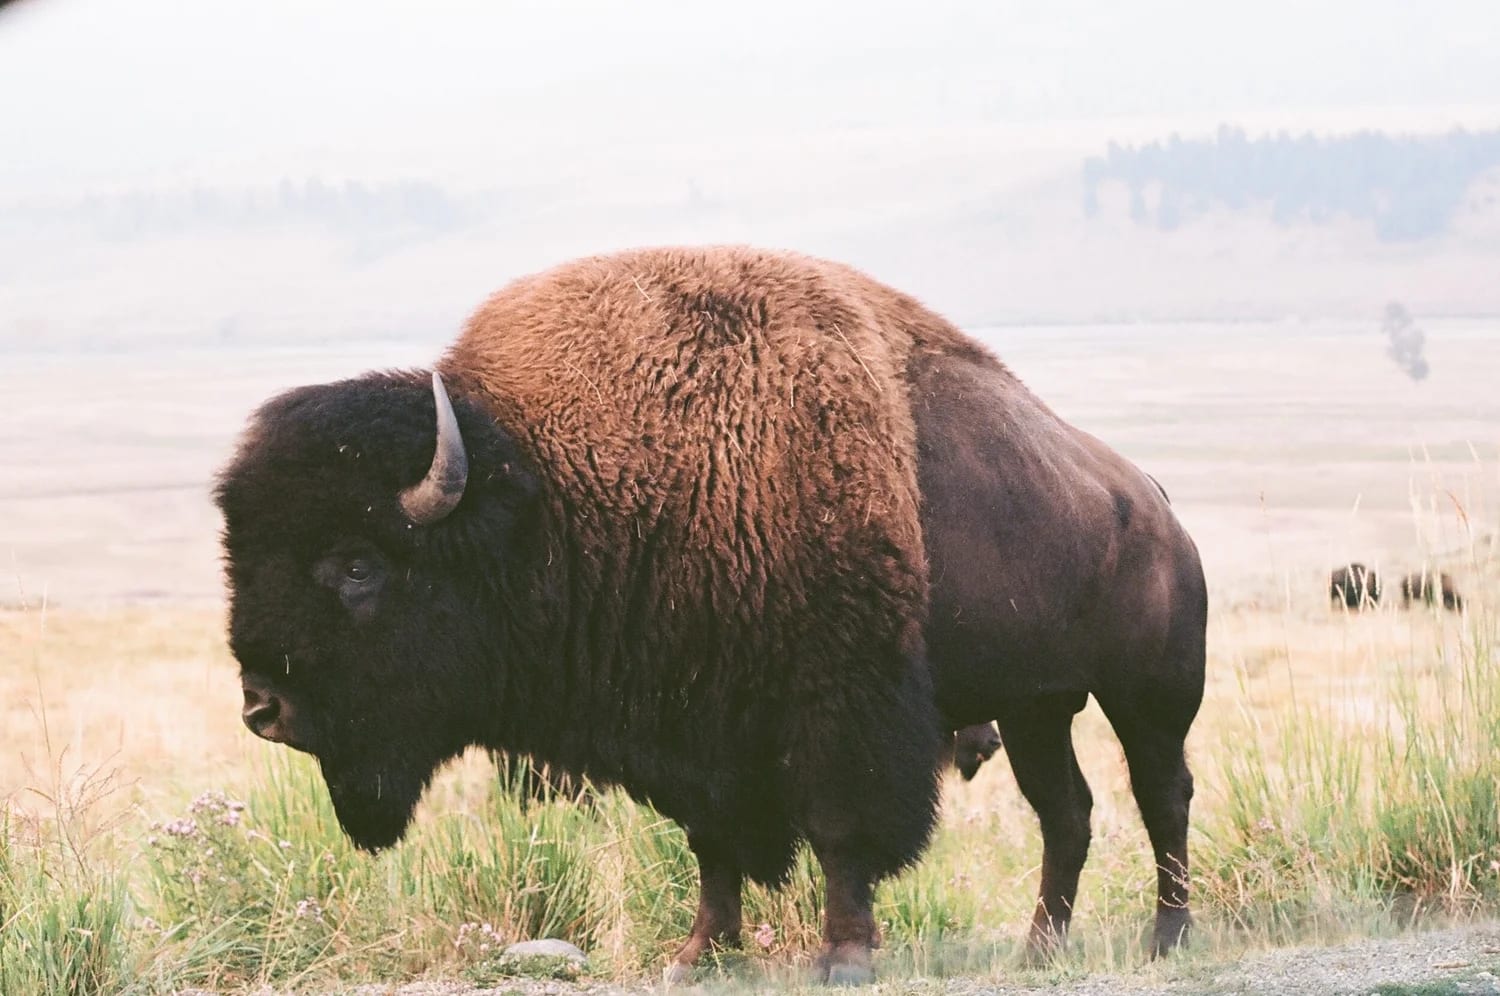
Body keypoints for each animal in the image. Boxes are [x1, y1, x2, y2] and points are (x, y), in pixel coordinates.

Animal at [217, 247, 1206, 982]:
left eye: (357, 565)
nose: (263, 707)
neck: (557, 492)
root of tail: (1154, 503)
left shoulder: (838, 708)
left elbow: (842, 832)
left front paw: (843, 956)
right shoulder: (696, 729)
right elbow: (712, 844)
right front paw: (699, 953)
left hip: (1148, 696)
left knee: (1161, 796)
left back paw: (1166, 937)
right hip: (1038, 707)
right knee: (1066, 813)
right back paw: (1040, 950)